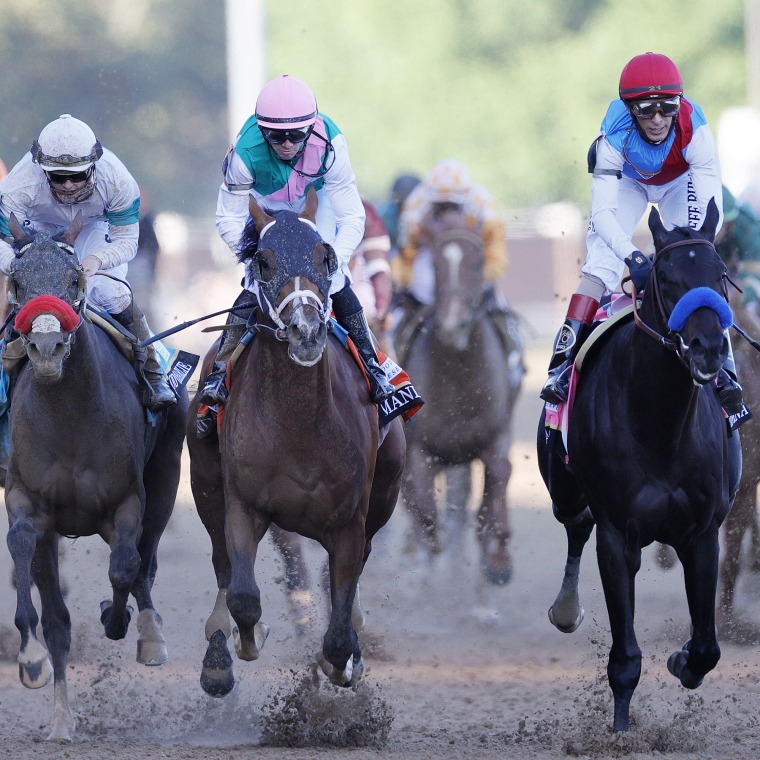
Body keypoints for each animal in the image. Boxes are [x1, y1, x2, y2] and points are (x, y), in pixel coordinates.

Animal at [3, 214, 188, 744]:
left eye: (73, 280)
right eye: (17, 282)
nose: (45, 347)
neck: (67, 415)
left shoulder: (127, 501)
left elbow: (125, 567)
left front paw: (121, 620)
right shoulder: (27, 501)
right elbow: (23, 549)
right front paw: (30, 658)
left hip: (167, 476)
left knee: (145, 560)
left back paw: (148, 633)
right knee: (60, 615)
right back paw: (61, 718)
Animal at [392, 205, 524, 584]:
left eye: (478, 261)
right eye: (435, 264)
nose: (453, 325)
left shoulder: (495, 436)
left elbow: (497, 485)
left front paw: (498, 561)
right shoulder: (421, 449)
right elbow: (425, 513)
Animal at [536, 199, 740, 732]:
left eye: (720, 273)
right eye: (666, 277)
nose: (709, 347)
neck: (659, 426)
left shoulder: (702, 533)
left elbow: (708, 647)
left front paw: (683, 660)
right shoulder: (617, 535)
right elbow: (624, 657)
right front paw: (620, 729)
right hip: (564, 491)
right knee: (576, 524)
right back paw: (566, 609)